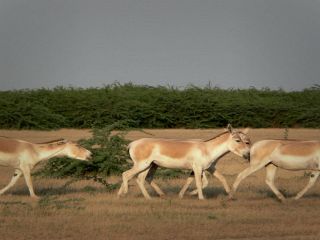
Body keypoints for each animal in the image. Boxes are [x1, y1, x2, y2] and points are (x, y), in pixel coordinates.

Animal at [117, 124, 250, 200]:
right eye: (238, 140)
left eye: (247, 141)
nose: (248, 155)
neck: (207, 149)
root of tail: (132, 144)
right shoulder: (198, 168)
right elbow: (200, 183)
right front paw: (200, 197)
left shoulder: (208, 168)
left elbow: (220, 179)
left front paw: (230, 195)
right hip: (142, 165)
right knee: (126, 174)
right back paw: (126, 194)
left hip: (150, 166)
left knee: (141, 179)